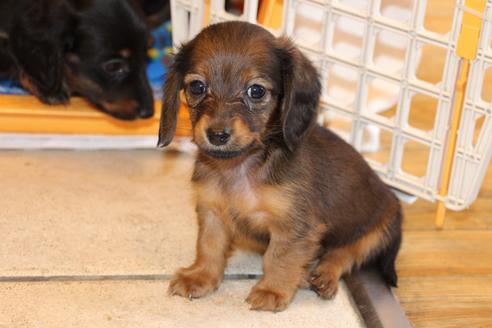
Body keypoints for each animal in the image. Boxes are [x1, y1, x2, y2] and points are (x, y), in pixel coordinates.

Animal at [160, 21, 402, 312]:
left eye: (256, 91)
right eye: (197, 86)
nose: (217, 135)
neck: (240, 167)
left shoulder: (294, 227)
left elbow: (279, 258)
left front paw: (272, 290)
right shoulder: (212, 211)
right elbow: (209, 246)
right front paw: (200, 276)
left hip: (379, 229)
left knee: (345, 254)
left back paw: (324, 276)